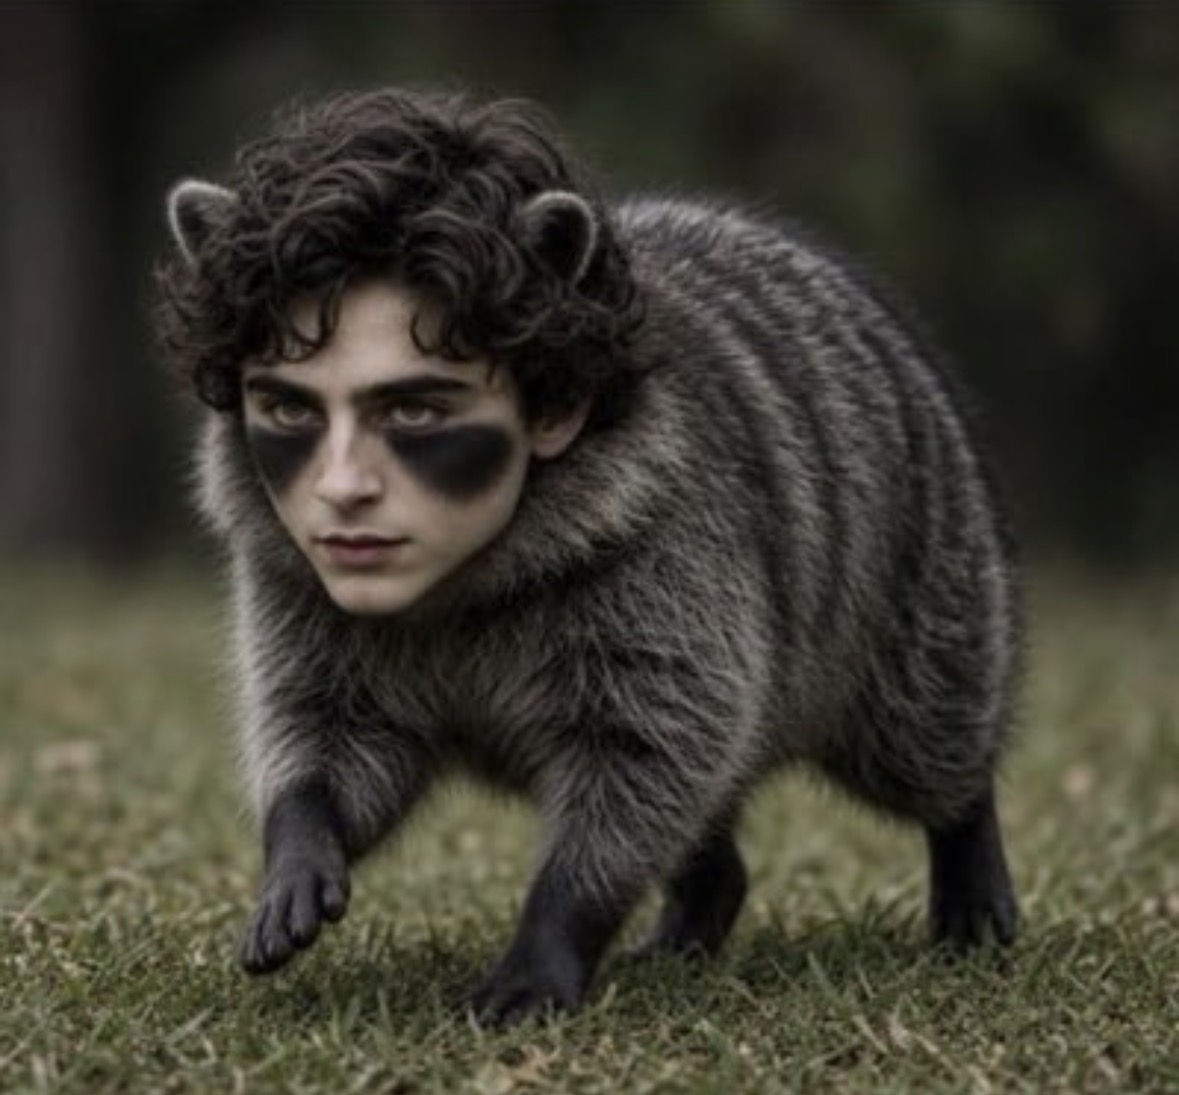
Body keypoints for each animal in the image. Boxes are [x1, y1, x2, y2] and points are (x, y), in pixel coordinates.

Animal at [158, 89, 1020, 1026]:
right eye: (289, 408)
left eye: (415, 412)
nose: (344, 498)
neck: (462, 573)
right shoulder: (302, 584)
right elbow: (329, 728)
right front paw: (299, 824)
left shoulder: (669, 551)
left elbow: (646, 752)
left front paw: (557, 921)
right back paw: (705, 892)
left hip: (922, 567)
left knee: (917, 725)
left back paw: (963, 826)